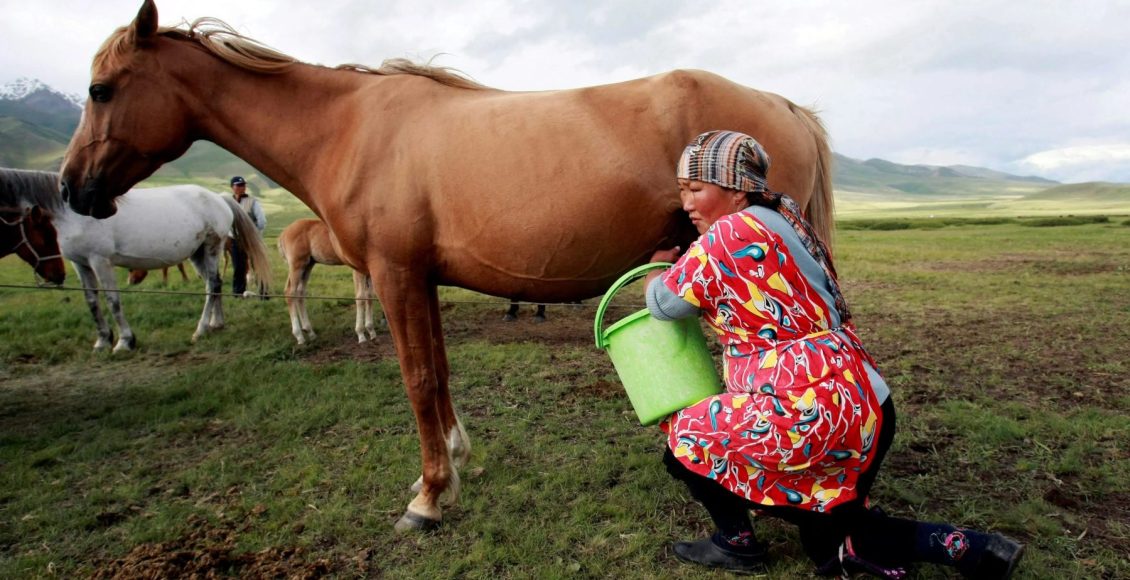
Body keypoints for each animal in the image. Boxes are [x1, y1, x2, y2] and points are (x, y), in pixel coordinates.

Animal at [0, 168, 271, 352]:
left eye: (46, 232)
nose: (56, 276)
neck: (73, 213)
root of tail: (218, 198)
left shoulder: (100, 260)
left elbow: (112, 301)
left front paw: (124, 341)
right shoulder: (81, 263)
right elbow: (92, 302)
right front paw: (102, 340)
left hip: (212, 247)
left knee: (212, 285)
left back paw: (201, 329)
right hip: (198, 254)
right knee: (215, 285)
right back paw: (216, 323)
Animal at [64, 0, 840, 531]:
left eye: (102, 89)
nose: (74, 188)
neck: (348, 129)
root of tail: (784, 104)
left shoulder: (395, 276)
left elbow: (416, 380)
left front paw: (431, 498)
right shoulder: (418, 280)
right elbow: (436, 374)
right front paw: (455, 465)